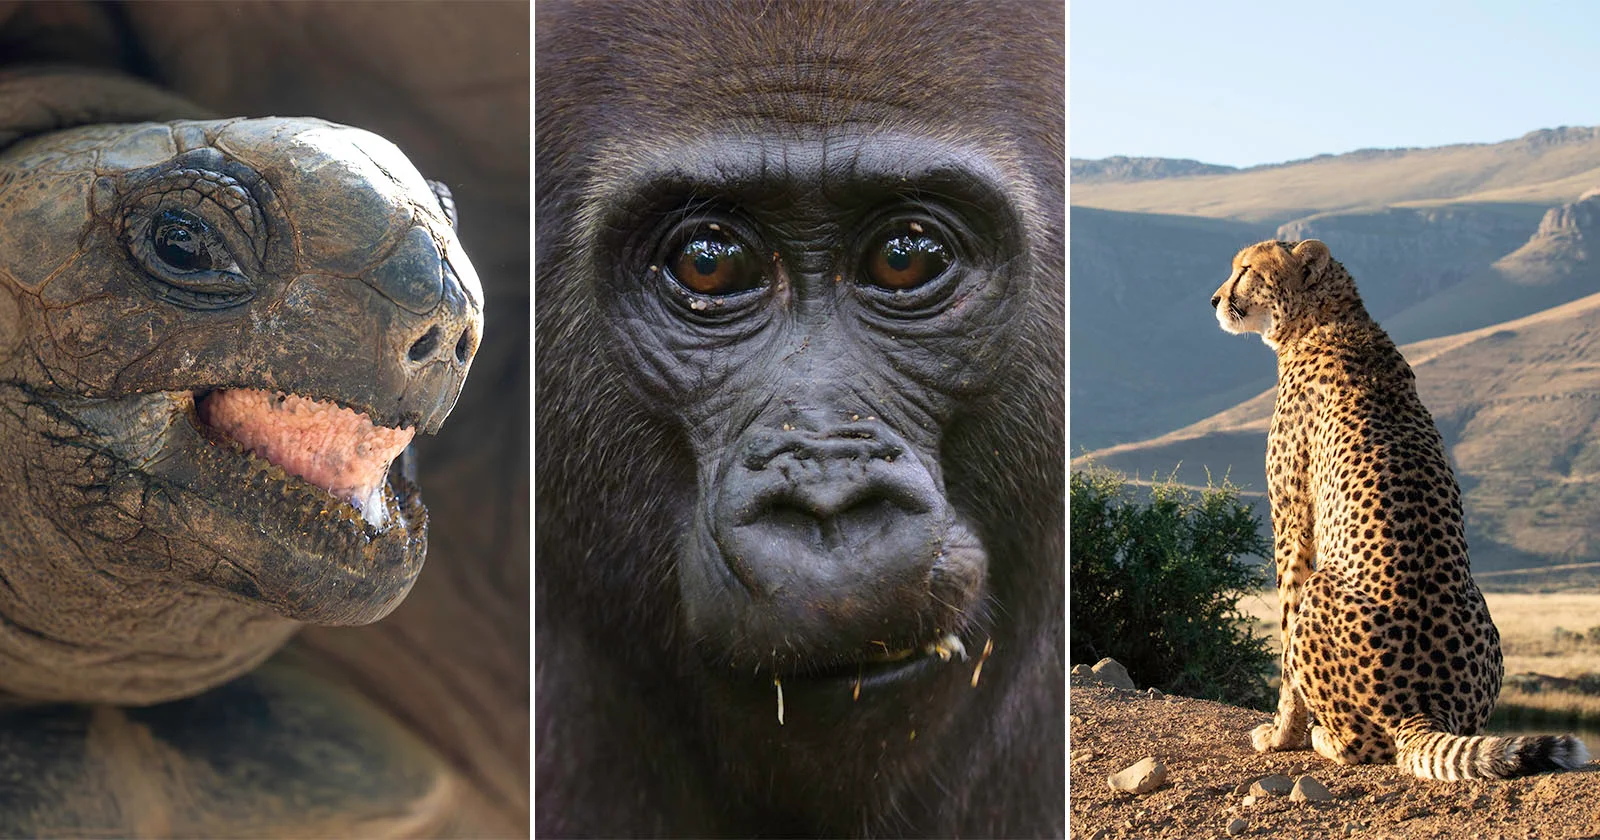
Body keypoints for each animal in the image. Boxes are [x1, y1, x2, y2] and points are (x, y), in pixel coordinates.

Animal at [1211, 238, 1590, 780]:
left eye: (1245, 269)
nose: (1214, 300)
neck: (1325, 319)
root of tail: (1423, 708)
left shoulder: (1292, 520)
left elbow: (1283, 635)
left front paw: (1281, 734)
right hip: (1483, 619)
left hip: (1323, 587)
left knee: (1363, 745)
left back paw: (1324, 738)